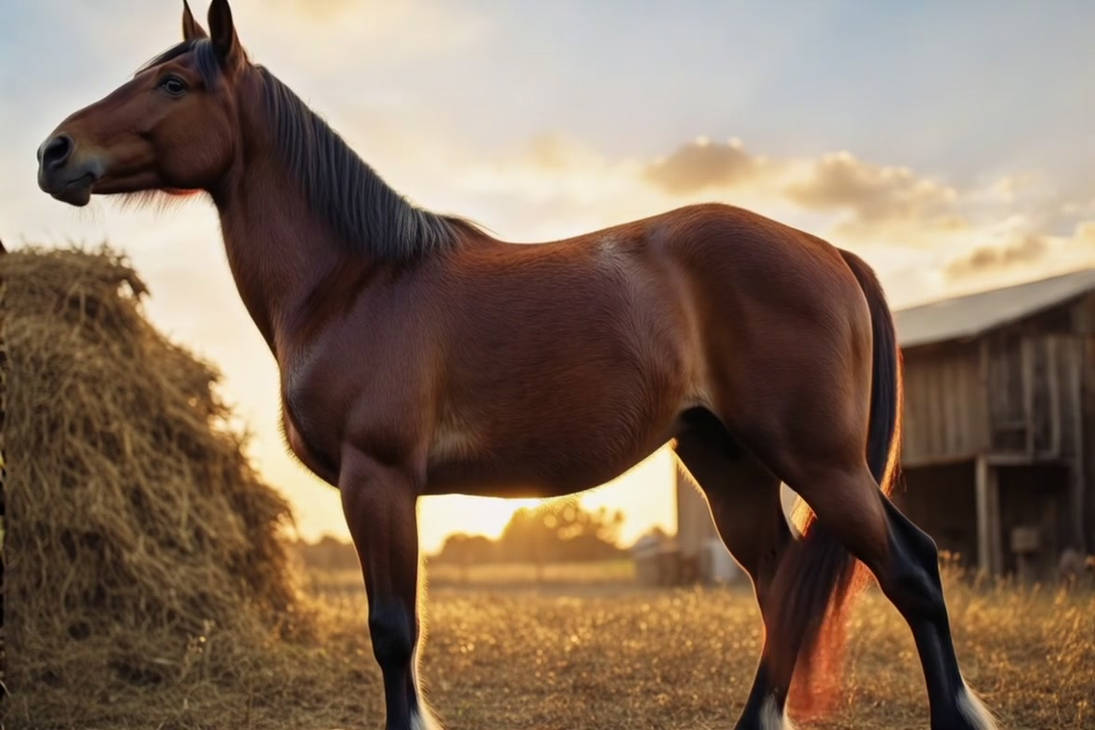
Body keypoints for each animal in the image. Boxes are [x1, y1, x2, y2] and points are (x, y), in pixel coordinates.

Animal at [37, 2, 996, 728]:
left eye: (173, 83)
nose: (53, 153)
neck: (357, 280)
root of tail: (826, 249)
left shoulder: (378, 479)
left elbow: (393, 631)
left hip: (818, 460)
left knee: (908, 570)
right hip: (733, 463)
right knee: (787, 585)